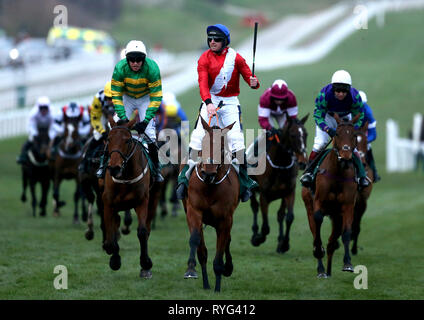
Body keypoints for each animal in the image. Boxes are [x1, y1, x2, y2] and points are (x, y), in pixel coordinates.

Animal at [102, 117, 161, 278]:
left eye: (127, 140)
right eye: (108, 139)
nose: (114, 168)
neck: (125, 176)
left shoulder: (142, 201)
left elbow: (142, 232)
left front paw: (146, 263)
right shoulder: (108, 203)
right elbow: (111, 232)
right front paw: (114, 259)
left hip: (153, 200)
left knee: (147, 228)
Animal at [181, 117, 238, 292]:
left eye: (221, 147)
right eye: (203, 144)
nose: (208, 173)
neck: (210, 187)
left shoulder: (225, 219)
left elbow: (220, 254)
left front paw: (218, 287)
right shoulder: (194, 211)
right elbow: (196, 242)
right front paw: (192, 270)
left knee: (227, 241)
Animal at [248, 114, 308, 252]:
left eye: (306, 134)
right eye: (292, 135)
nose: (303, 162)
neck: (281, 164)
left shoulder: (289, 192)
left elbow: (289, 217)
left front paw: (284, 244)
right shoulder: (264, 195)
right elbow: (265, 227)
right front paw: (258, 239)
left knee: (280, 215)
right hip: (252, 189)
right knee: (254, 207)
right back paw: (254, 234)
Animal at [302, 113, 362, 278]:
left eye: (354, 134)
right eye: (336, 134)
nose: (346, 156)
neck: (337, 174)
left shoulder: (347, 206)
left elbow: (346, 233)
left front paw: (347, 263)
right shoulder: (318, 203)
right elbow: (317, 228)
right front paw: (318, 254)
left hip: (336, 217)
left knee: (331, 242)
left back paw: (328, 269)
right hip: (308, 205)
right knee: (316, 233)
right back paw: (322, 269)